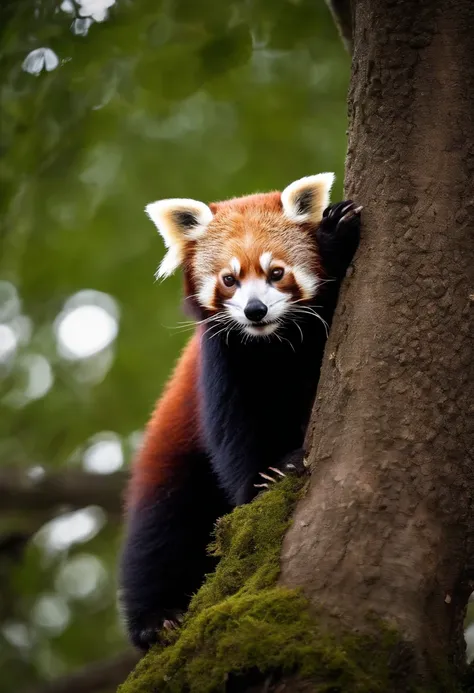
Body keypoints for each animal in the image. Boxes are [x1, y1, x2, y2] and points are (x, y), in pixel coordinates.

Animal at [117, 173, 360, 648]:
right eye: (229, 279)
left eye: (276, 273)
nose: (255, 310)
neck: (275, 345)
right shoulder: (223, 360)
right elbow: (237, 436)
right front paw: (266, 479)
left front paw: (336, 233)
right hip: (172, 459)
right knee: (157, 534)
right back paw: (155, 618)